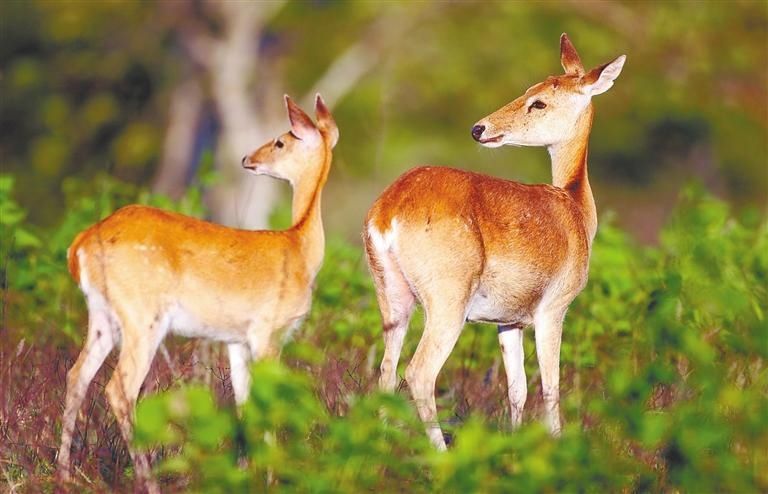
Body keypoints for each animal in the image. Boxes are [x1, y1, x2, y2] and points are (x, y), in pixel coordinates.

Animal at [57, 94, 340, 492]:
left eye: (280, 141)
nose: (247, 159)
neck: (300, 248)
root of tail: (78, 247)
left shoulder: (237, 339)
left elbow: (244, 403)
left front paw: (244, 474)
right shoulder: (269, 330)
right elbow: (267, 404)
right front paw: (272, 478)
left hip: (103, 316)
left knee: (76, 376)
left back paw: (64, 475)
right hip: (143, 314)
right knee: (120, 387)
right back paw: (149, 481)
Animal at [364, 32, 624, 448]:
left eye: (538, 99)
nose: (479, 128)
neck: (576, 209)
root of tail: (387, 212)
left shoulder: (508, 321)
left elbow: (517, 388)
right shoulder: (553, 308)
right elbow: (551, 386)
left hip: (392, 298)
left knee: (386, 374)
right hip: (448, 300)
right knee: (419, 373)